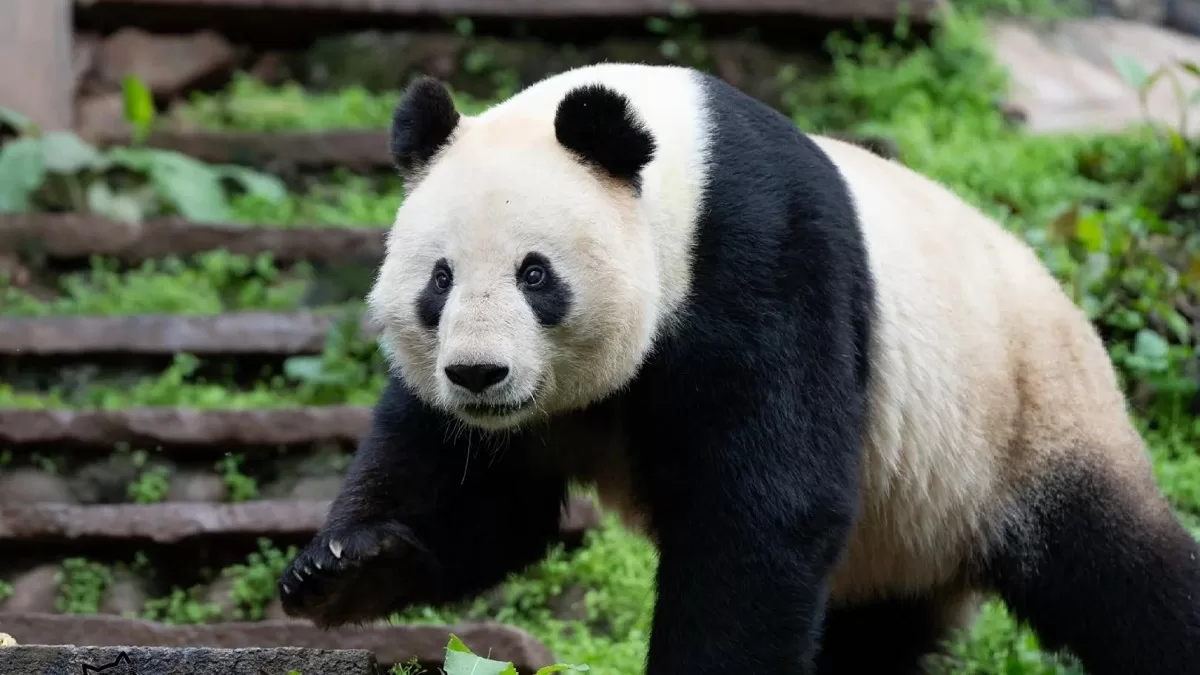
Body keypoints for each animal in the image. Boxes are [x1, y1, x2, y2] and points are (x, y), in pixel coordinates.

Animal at [277, 62, 1200, 674]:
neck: (678, 170)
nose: (477, 374)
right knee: (874, 631)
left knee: (1121, 574)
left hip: (1020, 419)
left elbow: (764, 509)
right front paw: (341, 569)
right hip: (905, 516)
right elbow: (477, 496)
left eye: (535, 274)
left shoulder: (763, 259)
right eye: (439, 279)